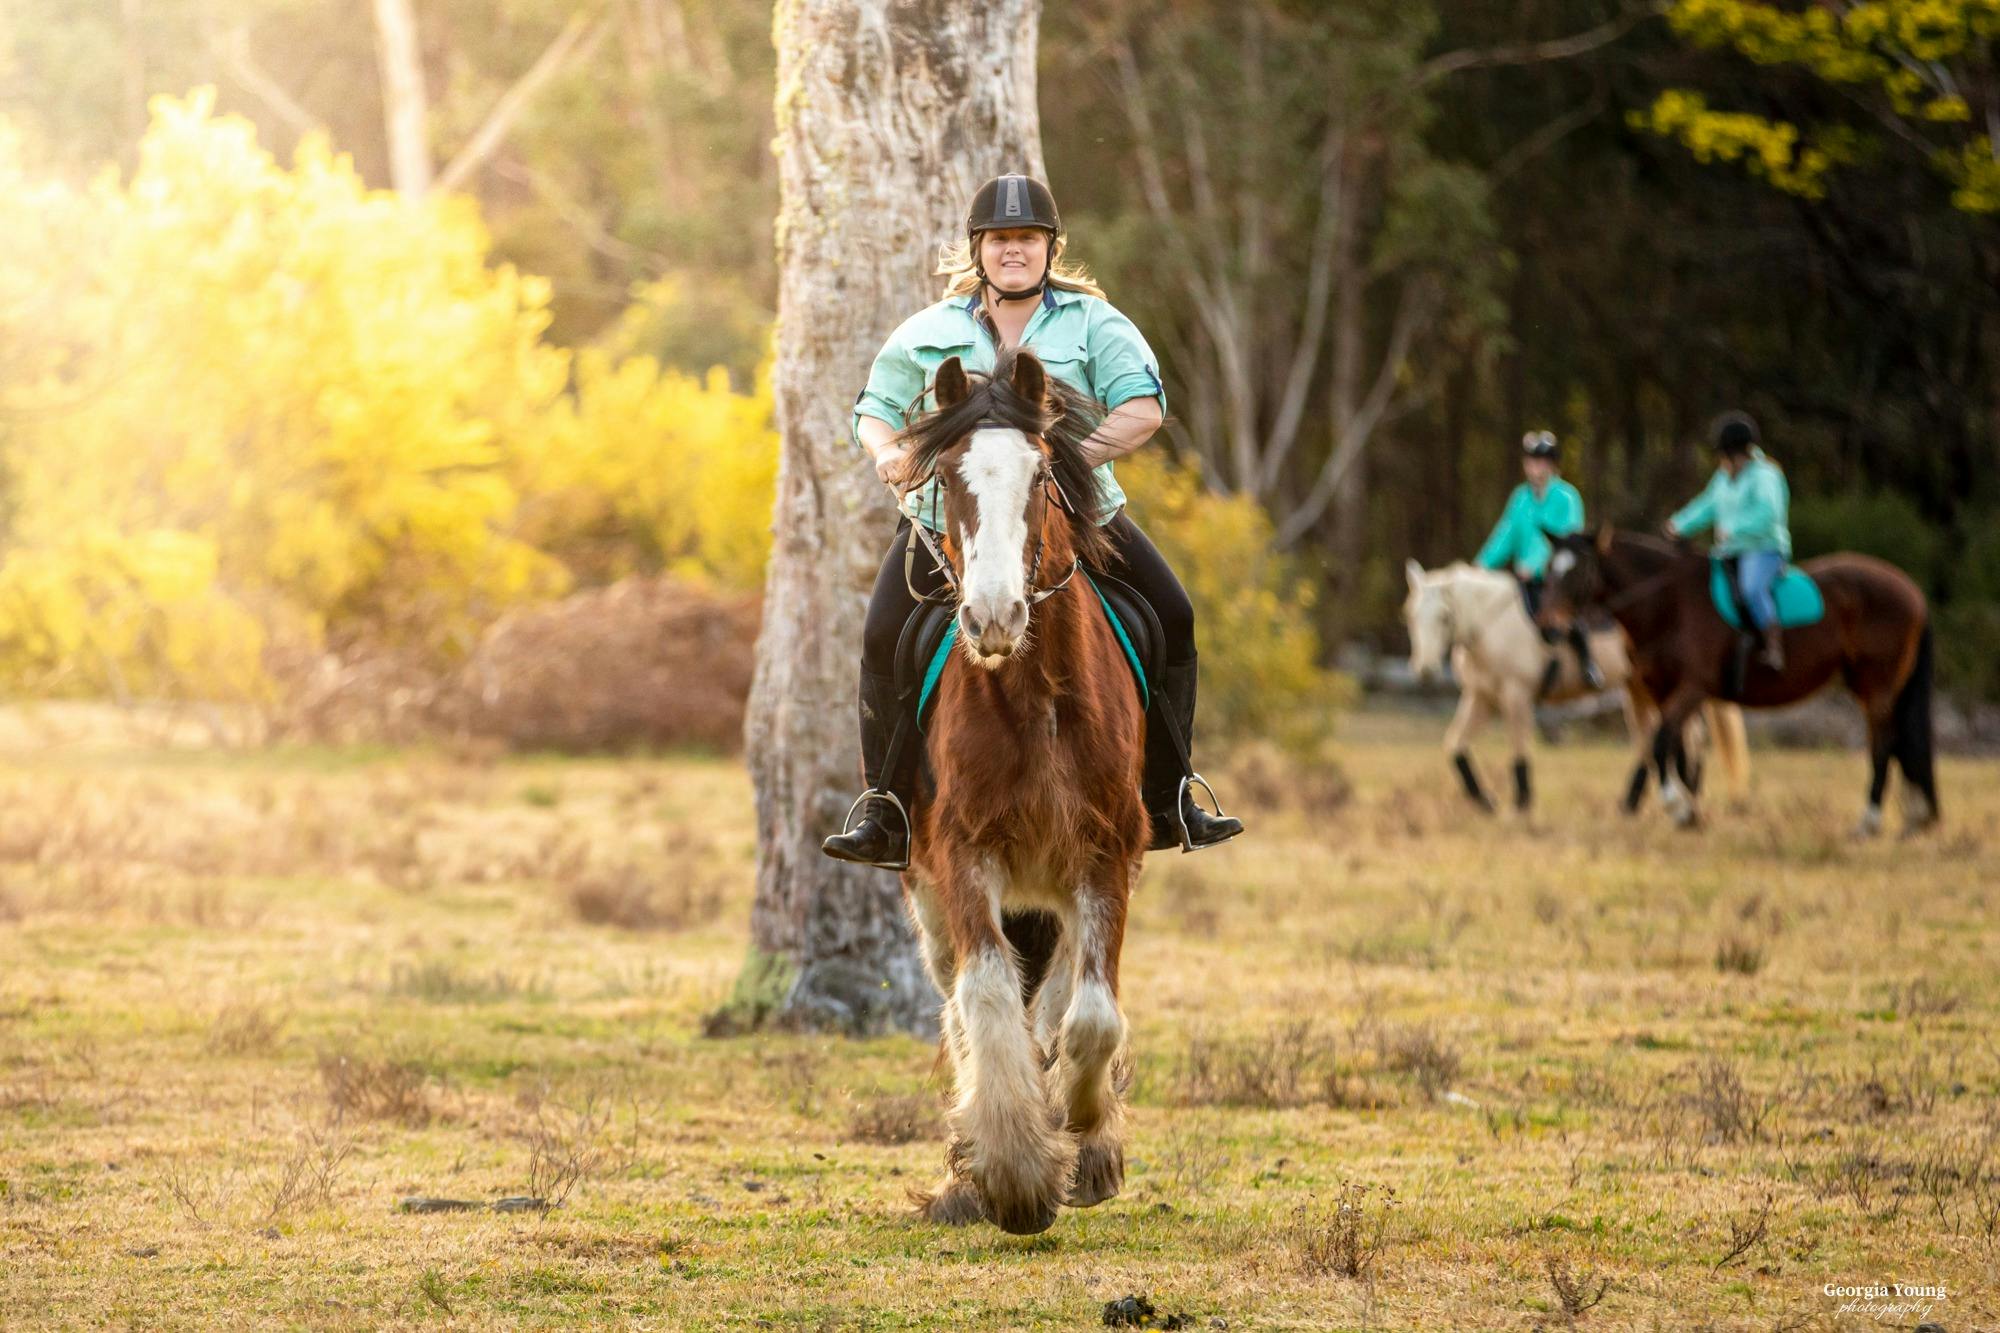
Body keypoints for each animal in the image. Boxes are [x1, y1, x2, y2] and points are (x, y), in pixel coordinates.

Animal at [885, 346, 1148, 1236]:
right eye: (948, 478)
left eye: (1039, 476)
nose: (992, 616)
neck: (1035, 694)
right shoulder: (963, 854)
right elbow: (988, 995)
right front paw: (1015, 1174)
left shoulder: (1106, 854)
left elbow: (1092, 1017)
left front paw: (1080, 1124)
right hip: (928, 891)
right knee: (961, 1001)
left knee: (1062, 991)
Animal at [1403, 560, 1749, 814]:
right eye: (1410, 616)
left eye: (1444, 617)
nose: (1425, 669)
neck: (1491, 625)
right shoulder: (1481, 698)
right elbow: (1455, 746)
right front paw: (1484, 800)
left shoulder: (1517, 695)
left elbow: (1519, 746)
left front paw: (1522, 803)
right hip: (1637, 689)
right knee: (1652, 738)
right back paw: (1635, 802)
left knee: (1688, 735)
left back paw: (1685, 792)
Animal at [1543, 528, 1937, 836]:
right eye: (1549, 569)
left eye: (1576, 572)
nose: (1548, 627)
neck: (1670, 605)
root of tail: (1914, 591)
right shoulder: (1663, 692)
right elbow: (1673, 749)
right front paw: (1691, 814)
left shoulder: (1693, 688)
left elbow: (1660, 744)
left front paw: (1678, 807)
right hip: (1869, 685)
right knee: (1899, 744)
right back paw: (1914, 818)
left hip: (1878, 685)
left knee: (1884, 745)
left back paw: (1870, 822)